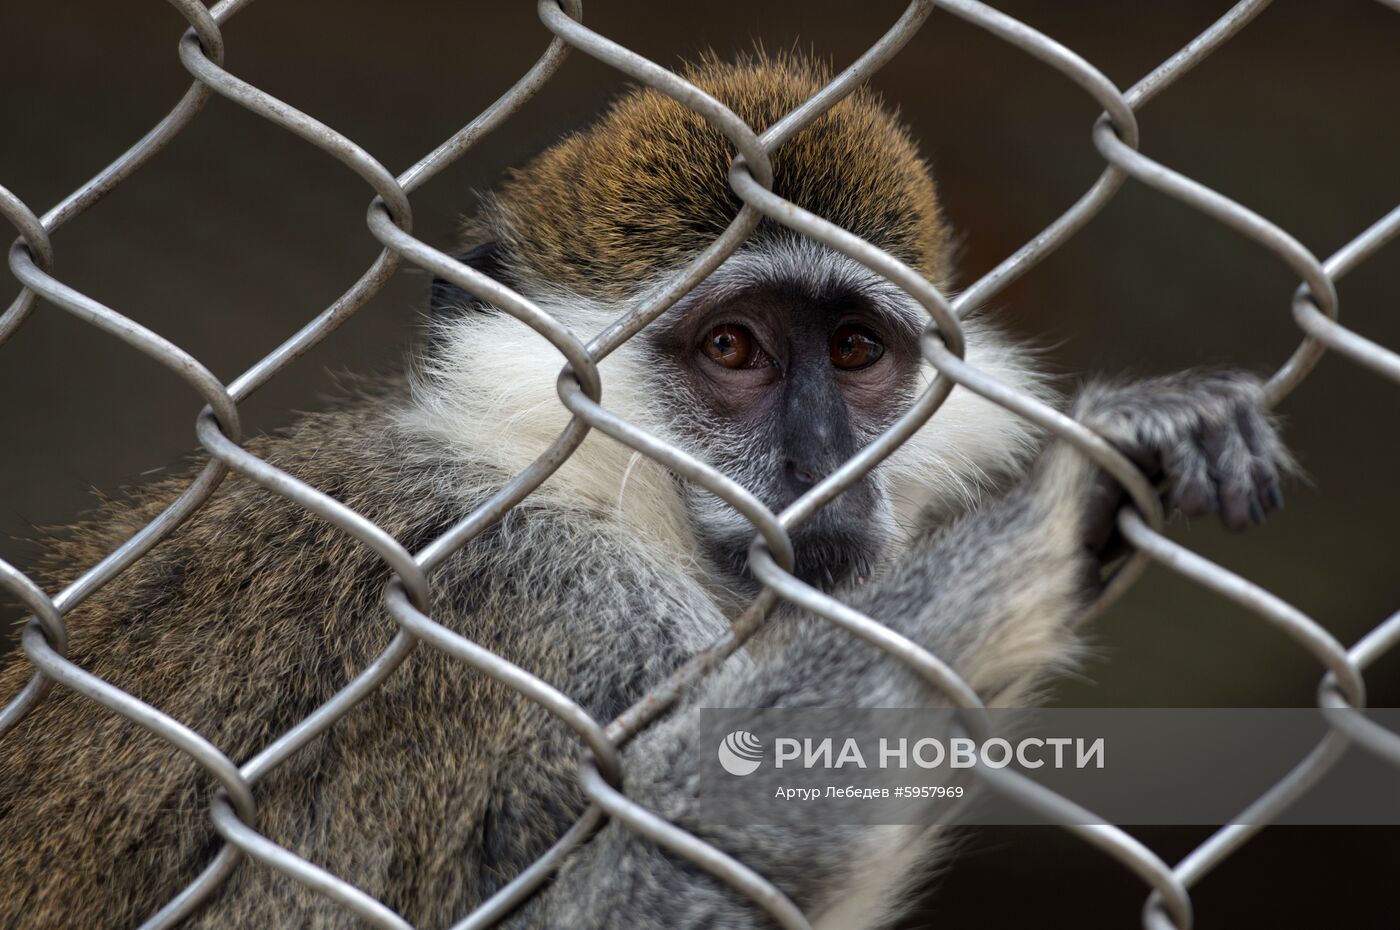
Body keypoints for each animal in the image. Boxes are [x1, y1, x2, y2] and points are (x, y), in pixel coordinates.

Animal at [2, 54, 1288, 924]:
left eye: (856, 351)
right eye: (730, 349)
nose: (822, 464)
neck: (574, 488)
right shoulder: (549, 610)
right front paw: (1068, 494)